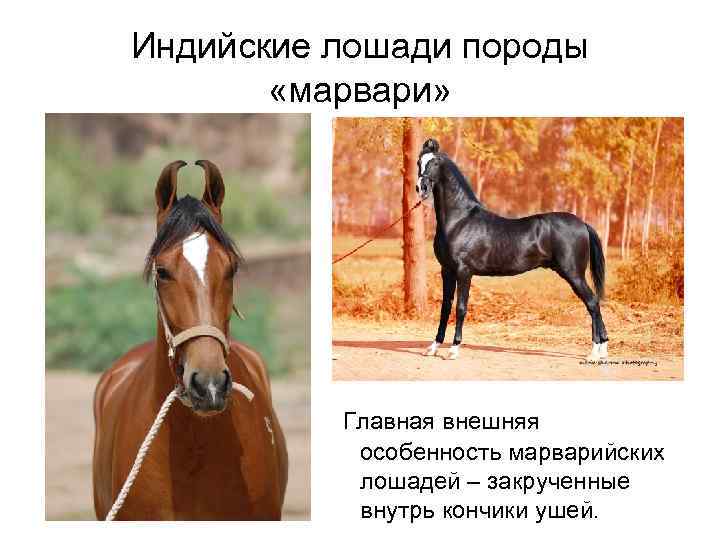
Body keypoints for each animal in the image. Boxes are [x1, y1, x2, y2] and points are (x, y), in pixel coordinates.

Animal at [416, 138, 609, 361]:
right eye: (419, 162)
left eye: (435, 162)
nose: (421, 187)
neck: (460, 220)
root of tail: (583, 223)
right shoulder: (446, 270)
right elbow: (445, 307)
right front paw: (433, 347)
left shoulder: (464, 272)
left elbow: (461, 307)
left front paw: (454, 349)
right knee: (594, 304)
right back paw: (603, 351)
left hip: (574, 274)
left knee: (592, 303)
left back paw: (594, 352)